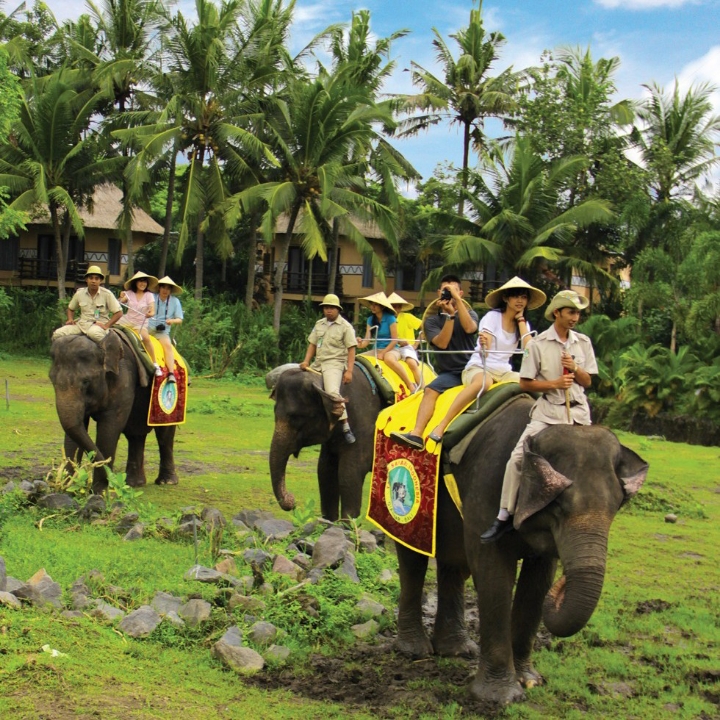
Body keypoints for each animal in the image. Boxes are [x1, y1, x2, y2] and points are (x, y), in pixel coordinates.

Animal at [49, 334, 179, 492]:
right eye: (52, 380)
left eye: (86, 381)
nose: (114, 481)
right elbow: (76, 427)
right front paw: (69, 489)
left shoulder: (124, 378)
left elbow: (110, 427)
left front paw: (100, 492)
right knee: (135, 434)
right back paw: (133, 483)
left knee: (164, 434)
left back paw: (167, 482)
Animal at [268, 362, 386, 520]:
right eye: (274, 414)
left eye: (296, 418)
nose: (292, 500)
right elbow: (324, 471)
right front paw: (329, 520)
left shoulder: (364, 425)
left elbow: (350, 472)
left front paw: (348, 523)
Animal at [394, 394, 648, 704]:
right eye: (558, 506)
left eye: (616, 508)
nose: (564, 586)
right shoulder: (487, 485)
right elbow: (492, 572)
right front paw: (499, 698)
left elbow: (539, 582)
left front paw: (529, 681)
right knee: (413, 559)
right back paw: (414, 650)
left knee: (453, 562)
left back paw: (456, 650)